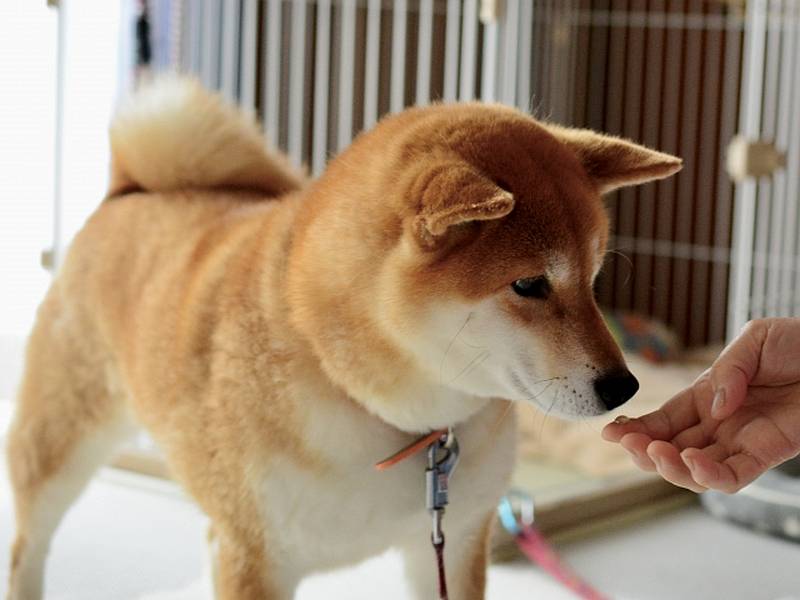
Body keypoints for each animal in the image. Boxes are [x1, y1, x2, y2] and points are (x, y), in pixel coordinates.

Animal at [6, 79, 680, 600]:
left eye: (592, 278)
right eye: (529, 284)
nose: (624, 387)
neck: (397, 421)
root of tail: (133, 188)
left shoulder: (451, 542)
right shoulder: (254, 556)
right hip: (59, 446)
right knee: (27, 544)